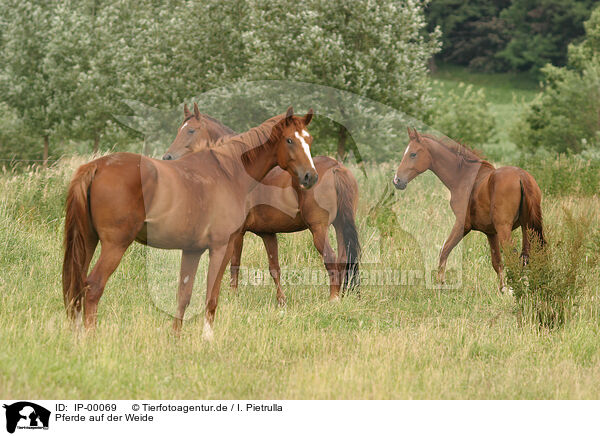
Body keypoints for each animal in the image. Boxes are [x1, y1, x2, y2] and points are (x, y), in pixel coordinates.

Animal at [62, 107, 318, 338]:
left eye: (309, 139)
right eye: (289, 140)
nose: (310, 176)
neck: (228, 173)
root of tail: (96, 166)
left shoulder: (192, 250)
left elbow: (183, 295)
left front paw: (176, 337)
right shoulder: (221, 248)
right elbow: (211, 296)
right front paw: (207, 338)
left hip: (88, 242)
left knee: (77, 286)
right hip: (115, 245)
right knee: (93, 286)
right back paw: (90, 338)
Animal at [163, 105, 360, 304]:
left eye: (191, 130)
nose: (168, 157)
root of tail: (335, 168)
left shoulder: (237, 233)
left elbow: (234, 263)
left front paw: (233, 297)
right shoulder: (268, 233)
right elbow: (274, 267)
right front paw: (281, 301)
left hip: (319, 228)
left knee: (331, 257)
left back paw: (334, 298)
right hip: (340, 225)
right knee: (344, 258)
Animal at [394, 129, 544, 292]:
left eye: (413, 154)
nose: (397, 181)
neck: (463, 177)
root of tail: (521, 176)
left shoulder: (462, 225)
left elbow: (444, 250)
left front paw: (440, 284)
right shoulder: (491, 233)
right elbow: (497, 262)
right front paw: (502, 289)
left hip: (506, 229)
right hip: (527, 228)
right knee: (528, 257)